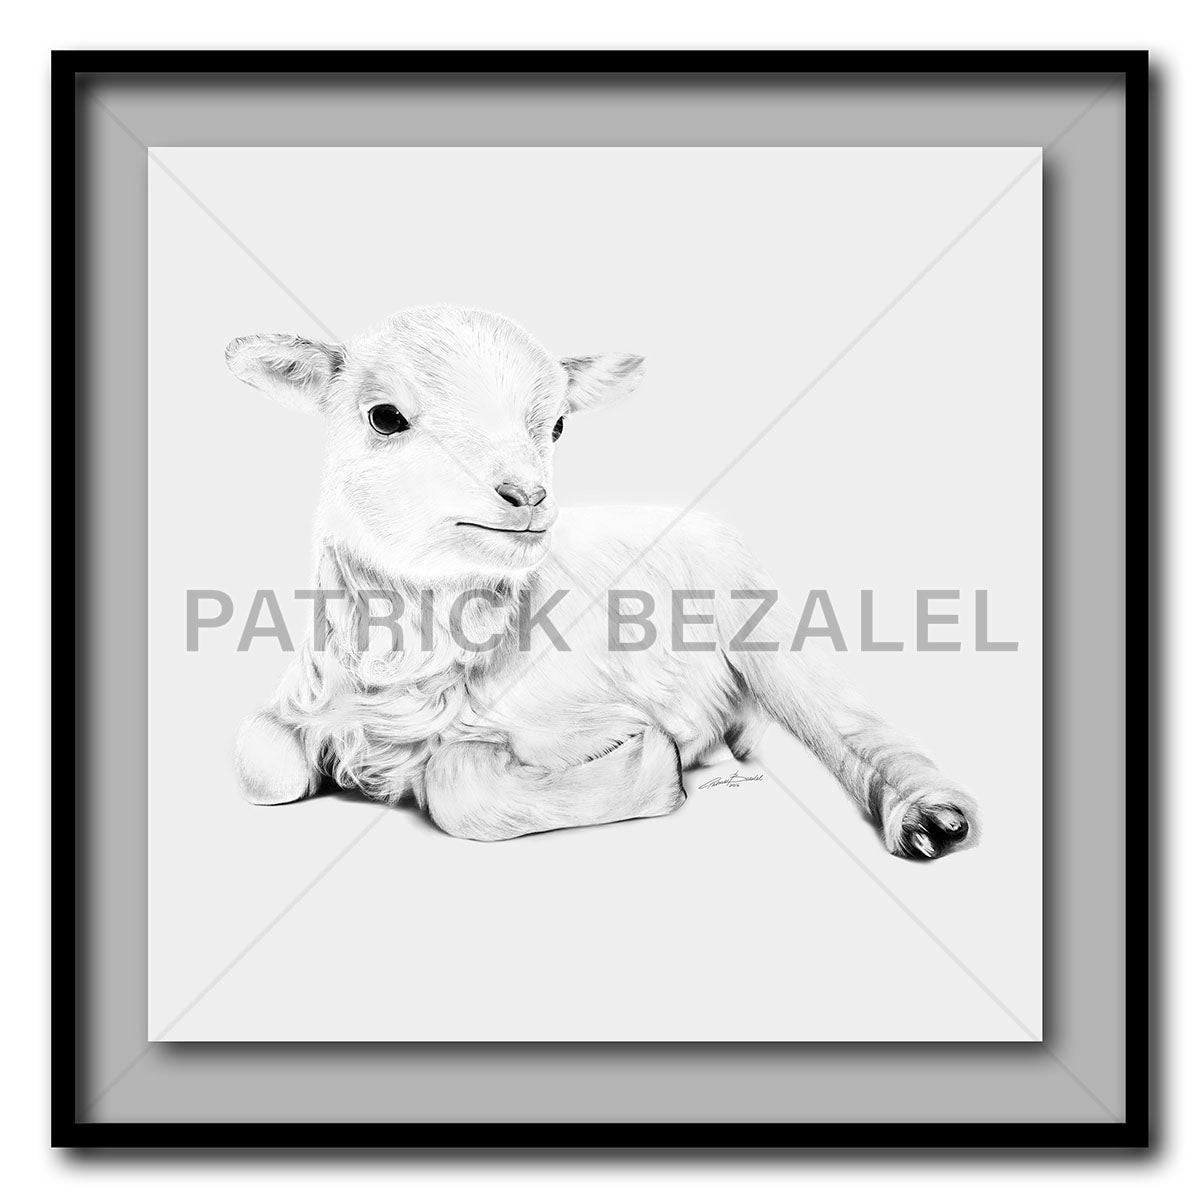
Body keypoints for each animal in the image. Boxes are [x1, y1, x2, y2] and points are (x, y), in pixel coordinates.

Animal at [226, 305, 979, 859]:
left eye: (558, 425)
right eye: (385, 417)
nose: (529, 497)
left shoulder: (581, 718)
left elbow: (458, 786)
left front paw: (655, 768)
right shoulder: (306, 703)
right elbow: (262, 762)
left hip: (761, 619)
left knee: (846, 721)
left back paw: (929, 817)